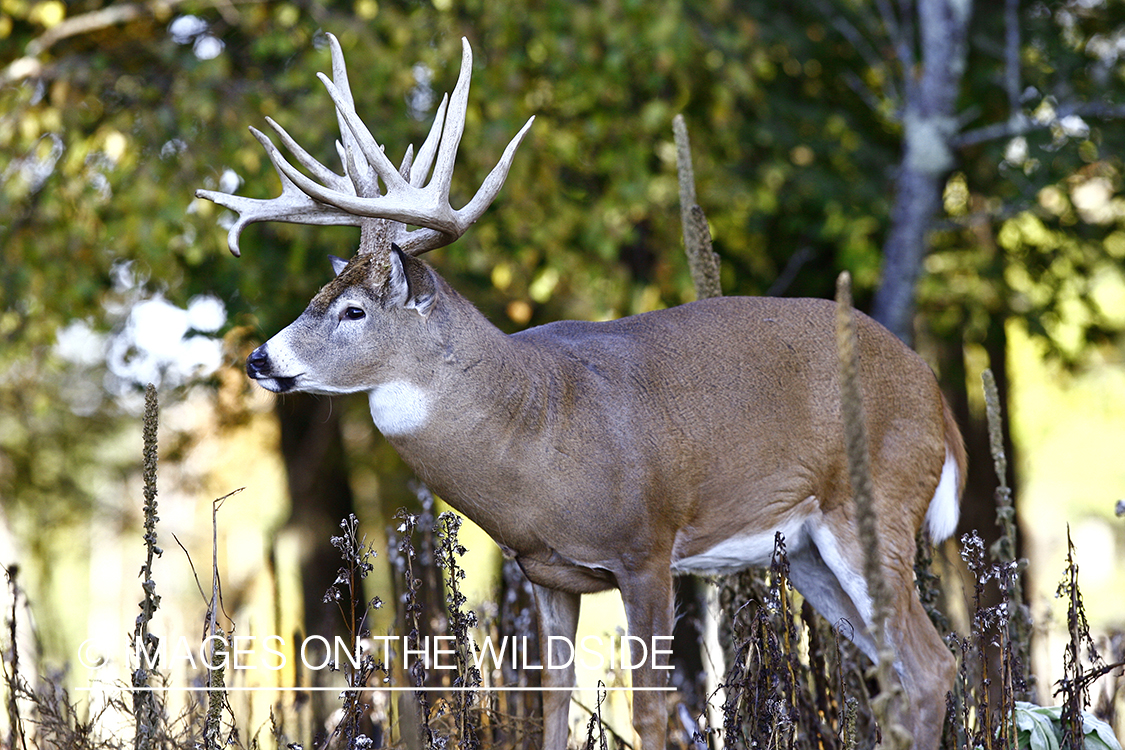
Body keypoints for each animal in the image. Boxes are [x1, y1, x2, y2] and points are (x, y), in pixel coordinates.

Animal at [195, 35, 967, 750]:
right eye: (318, 295)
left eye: (354, 311)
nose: (260, 358)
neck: (537, 424)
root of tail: (936, 398)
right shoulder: (545, 572)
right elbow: (551, 709)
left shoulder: (646, 546)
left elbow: (655, 710)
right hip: (808, 551)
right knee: (896, 676)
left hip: (875, 505)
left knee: (932, 667)